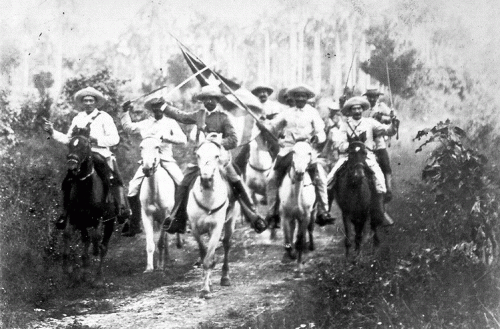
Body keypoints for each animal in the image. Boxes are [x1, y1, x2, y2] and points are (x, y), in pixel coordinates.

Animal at [61, 133, 117, 284]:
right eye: (70, 145)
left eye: (84, 146)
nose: (71, 165)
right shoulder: (75, 216)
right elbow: (68, 234)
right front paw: (68, 269)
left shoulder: (98, 217)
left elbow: (96, 238)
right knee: (85, 241)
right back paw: (84, 272)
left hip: (110, 223)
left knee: (103, 247)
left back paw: (98, 278)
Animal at [139, 136, 182, 272]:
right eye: (141, 147)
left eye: (157, 147)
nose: (147, 169)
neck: (155, 192)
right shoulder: (146, 215)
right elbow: (150, 243)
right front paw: (149, 267)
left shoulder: (166, 215)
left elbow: (161, 242)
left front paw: (160, 265)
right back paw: (167, 259)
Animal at [188, 140, 236, 298]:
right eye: (198, 155)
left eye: (216, 155)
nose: (206, 179)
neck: (208, 199)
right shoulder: (195, 228)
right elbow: (204, 253)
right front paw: (206, 283)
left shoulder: (216, 227)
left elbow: (208, 259)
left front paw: (205, 290)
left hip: (231, 222)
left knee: (227, 244)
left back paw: (225, 277)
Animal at [280, 140, 314, 276]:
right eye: (294, 151)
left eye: (309, 152)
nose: (299, 173)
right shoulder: (285, 217)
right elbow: (287, 239)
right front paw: (291, 254)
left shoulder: (305, 217)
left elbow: (300, 240)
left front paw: (299, 267)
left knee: (307, 232)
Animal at [332, 132, 382, 262]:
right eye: (350, 153)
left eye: (364, 153)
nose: (358, 174)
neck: (355, 187)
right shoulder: (346, 213)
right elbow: (349, 236)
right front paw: (347, 257)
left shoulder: (363, 212)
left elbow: (359, 235)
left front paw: (358, 257)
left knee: (373, 225)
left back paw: (375, 248)